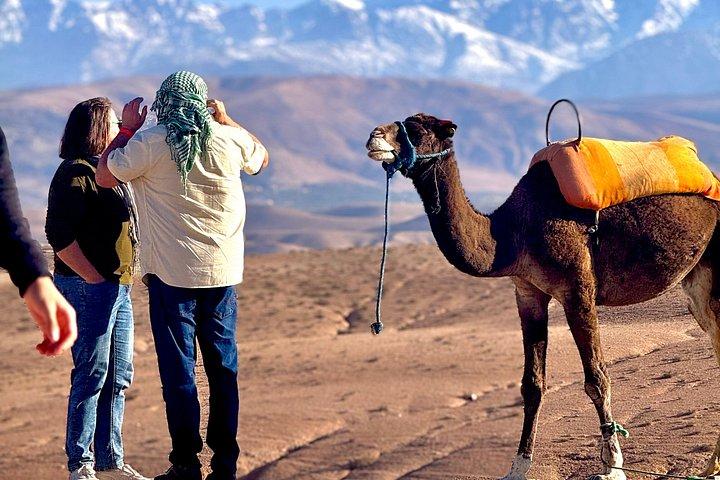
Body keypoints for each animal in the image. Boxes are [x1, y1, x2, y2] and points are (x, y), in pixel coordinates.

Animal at [365, 113, 720, 480]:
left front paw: (612, 466)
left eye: (417, 129)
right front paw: (519, 466)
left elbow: (597, 378)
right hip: (697, 281)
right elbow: (532, 384)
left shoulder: (578, 289)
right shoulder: (528, 292)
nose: (374, 137)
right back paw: (710, 467)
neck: (510, 235)